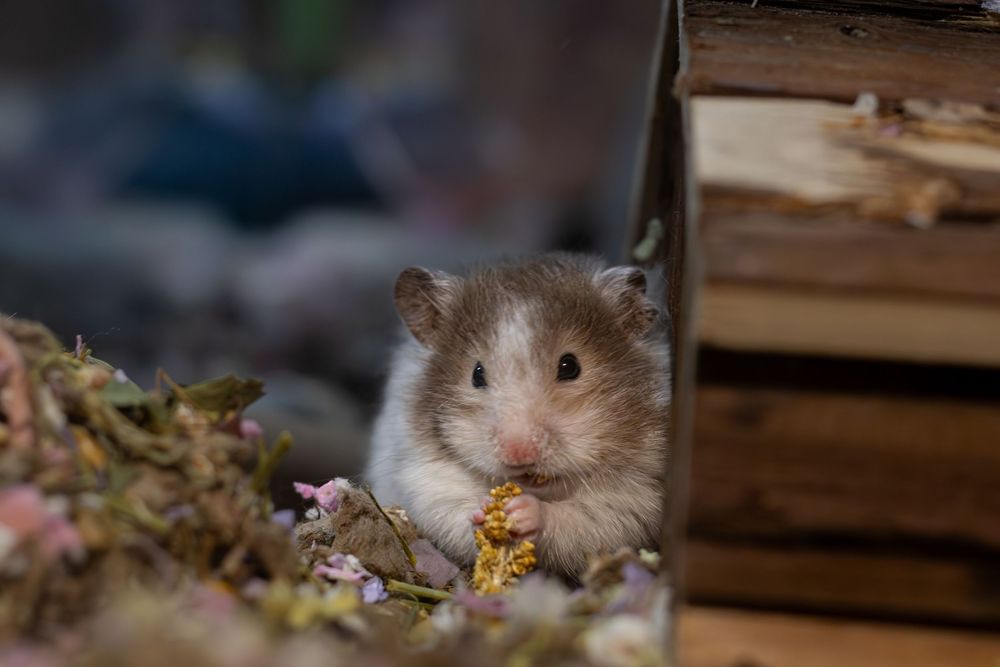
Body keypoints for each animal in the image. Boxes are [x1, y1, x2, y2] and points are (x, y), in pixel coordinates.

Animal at [366, 253, 669, 577]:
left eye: (570, 366)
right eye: (476, 374)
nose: (518, 455)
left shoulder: (636, 499)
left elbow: (580, 519)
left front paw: (524, 513)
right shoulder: (424, 479)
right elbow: (453, 510)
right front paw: (484, 511)